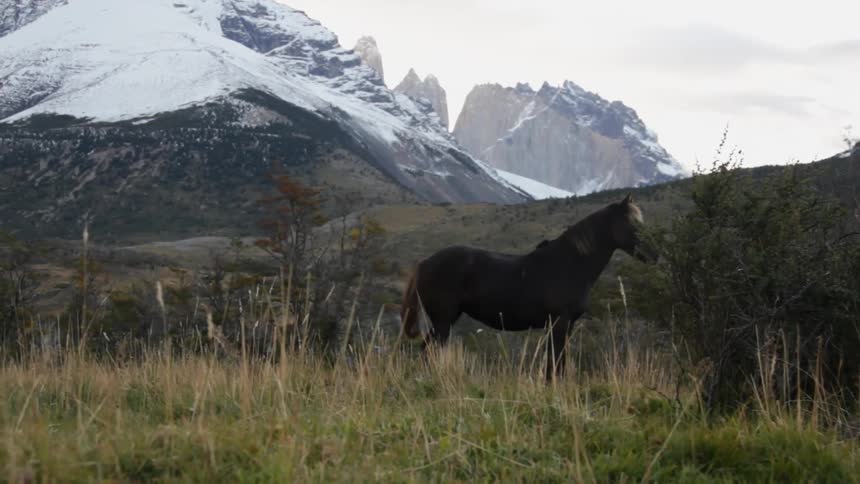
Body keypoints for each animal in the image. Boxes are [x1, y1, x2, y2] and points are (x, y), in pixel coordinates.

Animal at [400, 195, 657, 380]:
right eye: (632, 224)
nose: (654, 253)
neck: (570, 264)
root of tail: (424, 263)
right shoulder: (559, 323)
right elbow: (555, 363)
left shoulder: (565, 325)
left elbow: (557, 362)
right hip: (443, 322)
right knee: (429, 352)